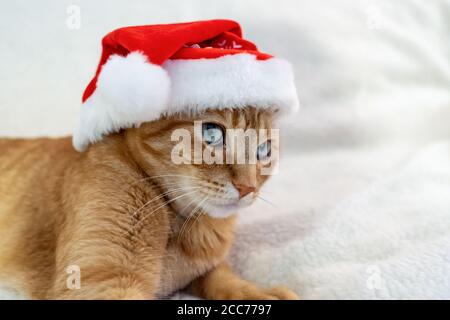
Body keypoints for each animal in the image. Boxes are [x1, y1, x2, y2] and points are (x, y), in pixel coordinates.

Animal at [0, 107, 298, 300]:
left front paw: (257, 291)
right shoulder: (101, 281)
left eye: (264, 150)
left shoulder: (204, 268)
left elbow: (223, 277)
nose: (248, 187)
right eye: (212, 134)